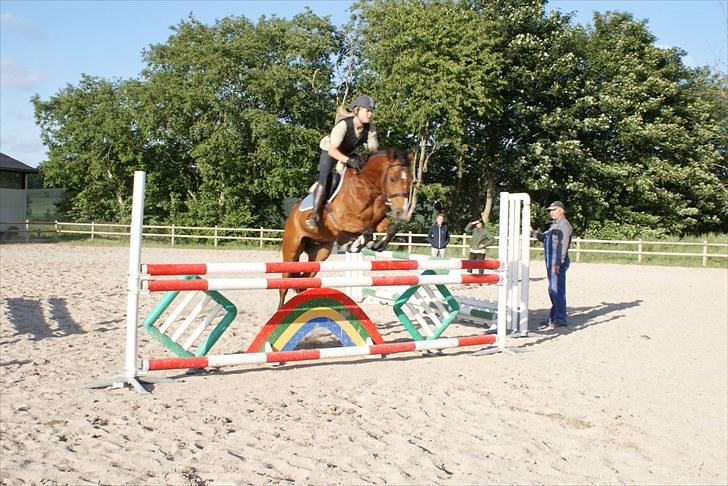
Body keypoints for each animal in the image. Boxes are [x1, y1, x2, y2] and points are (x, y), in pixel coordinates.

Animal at [278, 148, 413, 308]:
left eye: (410, 180)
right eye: (392, 178)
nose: (401, 212)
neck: (368, 190)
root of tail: (293, 213)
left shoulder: (378, 222)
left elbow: (391, 228)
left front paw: (377, 245)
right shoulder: (344, 221)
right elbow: (366, 232)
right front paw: (357, 245)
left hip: (320, 253)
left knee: (303, 282)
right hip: (291, 251)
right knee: (284, 286)